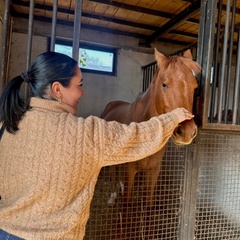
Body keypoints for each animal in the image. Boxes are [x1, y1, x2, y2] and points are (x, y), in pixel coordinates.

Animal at [101, 48, 201, 206]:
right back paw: (112, 197)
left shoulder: (153, 171)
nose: (186, 132)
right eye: (164, 85)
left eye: (195, 87)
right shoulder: (130, 171)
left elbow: (149, 204)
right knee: (112, 173)